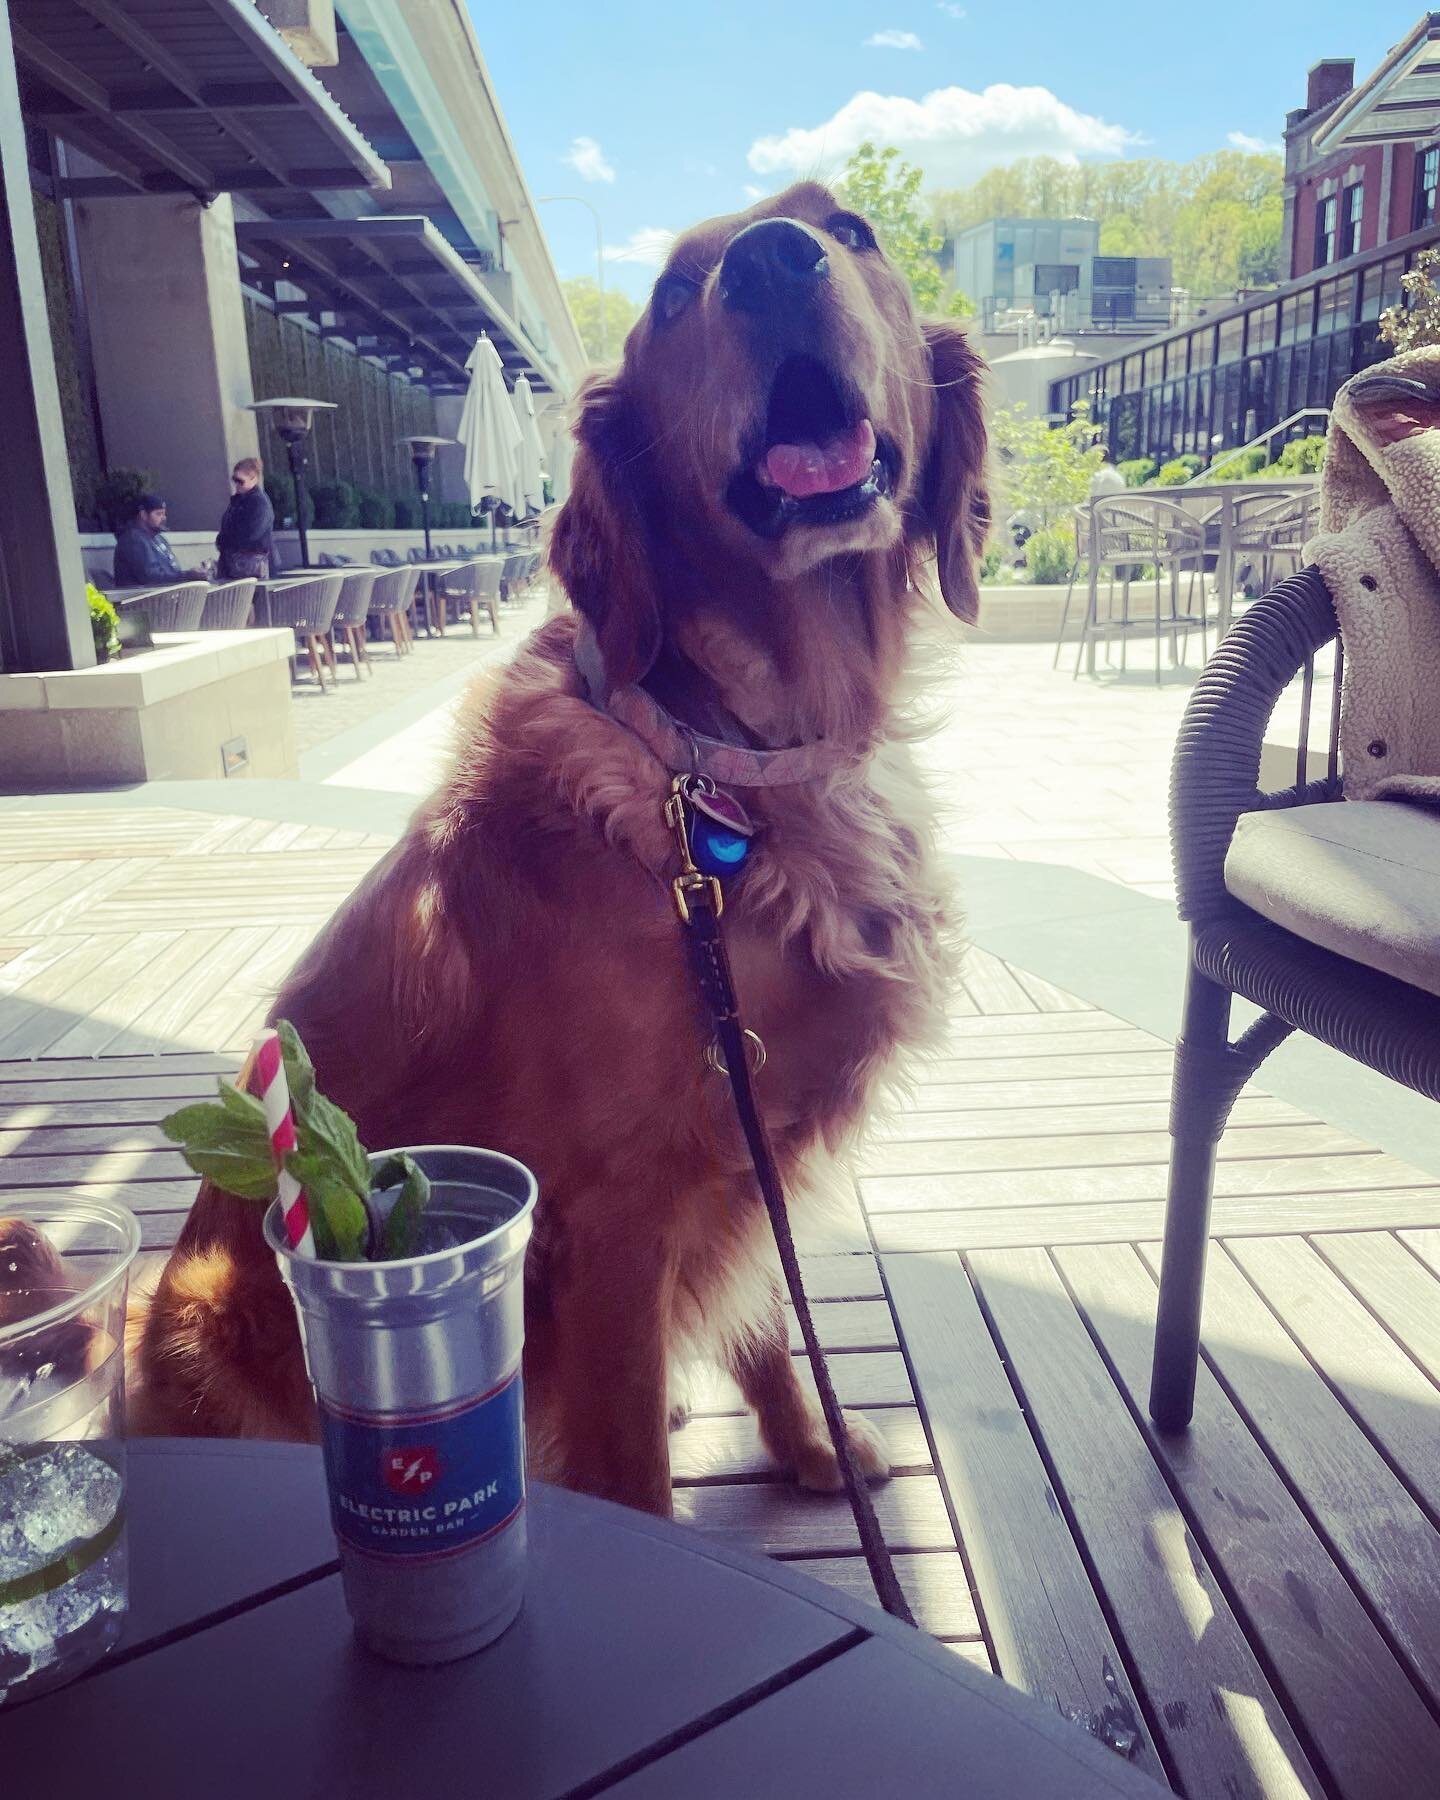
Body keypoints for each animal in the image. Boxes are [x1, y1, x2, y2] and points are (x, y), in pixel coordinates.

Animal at [135, 182, 993, 1512]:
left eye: (851, 231)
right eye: (674, 296)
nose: (773, 261)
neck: (721, 765)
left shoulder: (739, 1157)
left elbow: (769, 1323)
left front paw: (810, 1448)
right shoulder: (617, 1218)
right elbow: (633, 1458)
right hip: (194, 1312)